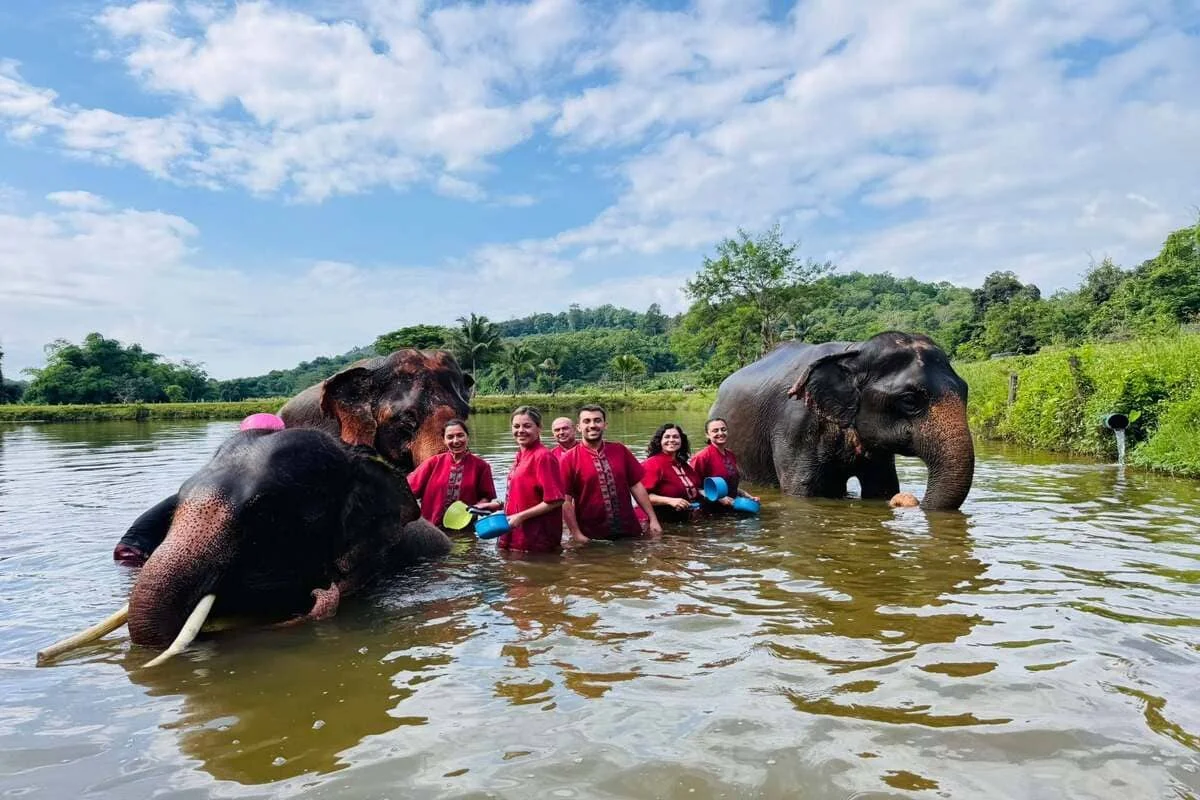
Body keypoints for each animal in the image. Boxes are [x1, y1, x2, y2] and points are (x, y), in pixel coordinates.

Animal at [710, 331, 974, 510]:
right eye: (909, 400)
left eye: (966, 390)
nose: (912, 503)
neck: (853, 351)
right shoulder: (795, 426)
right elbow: (802, 489)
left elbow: (881, 486)